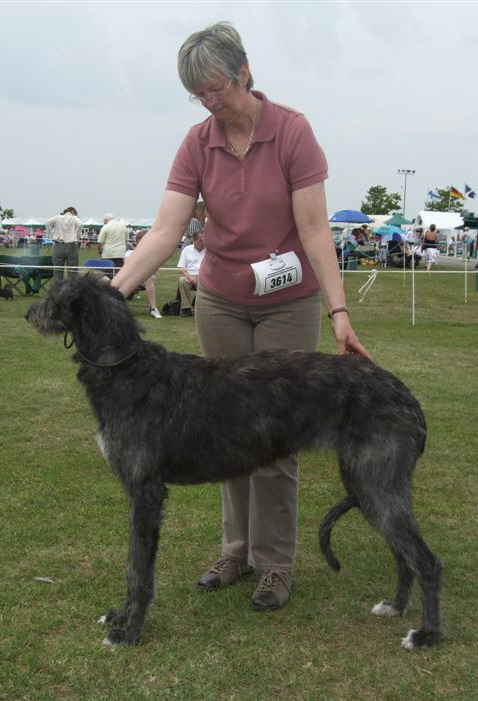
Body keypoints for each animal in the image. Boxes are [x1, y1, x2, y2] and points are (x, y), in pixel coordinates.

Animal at [26, 274, 442, 652]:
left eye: (52, 294)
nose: (30, 312)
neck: (125, 368)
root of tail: (408, 397)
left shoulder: (146, 492)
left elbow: (139, 570)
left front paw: (129, 632)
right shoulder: (138, 493)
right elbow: (133, 564)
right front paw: (120, 617)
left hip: (375, 482)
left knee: (426, 560)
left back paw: (426, 635)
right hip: (369, 485)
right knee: (403, 554)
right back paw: (396, 606)